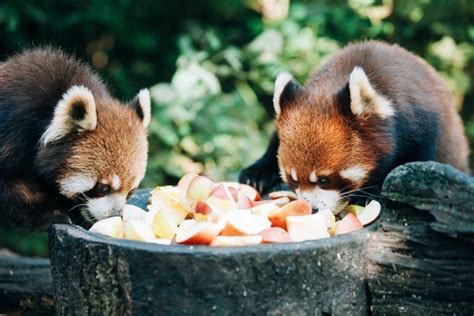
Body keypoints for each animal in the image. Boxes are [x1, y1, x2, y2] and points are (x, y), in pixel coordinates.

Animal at [241, 40, 470, 214]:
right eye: (293, 180)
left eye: (324, 180)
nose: (312, 208)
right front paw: (256, 174)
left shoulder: (421, 127)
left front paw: (368, 193)